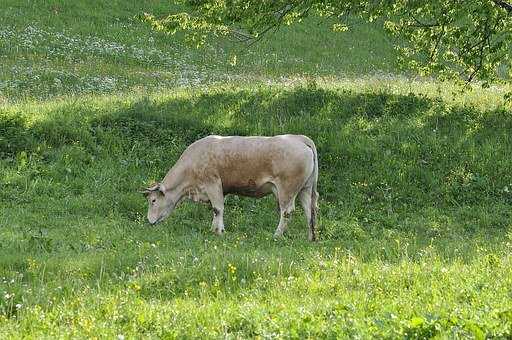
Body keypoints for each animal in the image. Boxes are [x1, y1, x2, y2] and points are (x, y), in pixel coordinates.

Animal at [144, 134, 318, 240]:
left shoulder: (212, 183)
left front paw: (218, 231)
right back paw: (311, 237)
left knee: (287, 212)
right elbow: (216, 209)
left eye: (153, 200)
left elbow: (217, 209)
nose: (149, 221)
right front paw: (214, 229)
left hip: (287, 190)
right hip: (305, 188)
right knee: (310, 210)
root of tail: (298, 138)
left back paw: (276, 235)